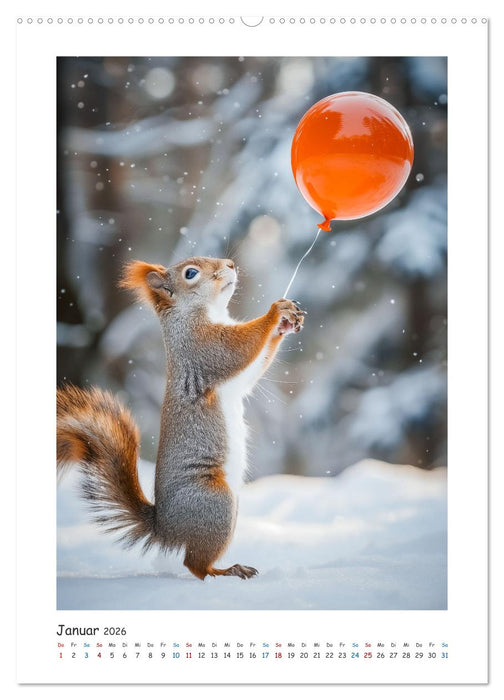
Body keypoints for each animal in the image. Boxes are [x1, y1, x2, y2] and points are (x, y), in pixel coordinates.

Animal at [57, 256, 305, 581]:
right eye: (190, 273)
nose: (230, 264)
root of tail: (165, 528)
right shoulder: (202, 348)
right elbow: (236, 349)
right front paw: (275, 312)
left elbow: (253, 368)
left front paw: (287, 321)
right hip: (214, 502)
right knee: (195, 565)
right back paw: (227, 571)